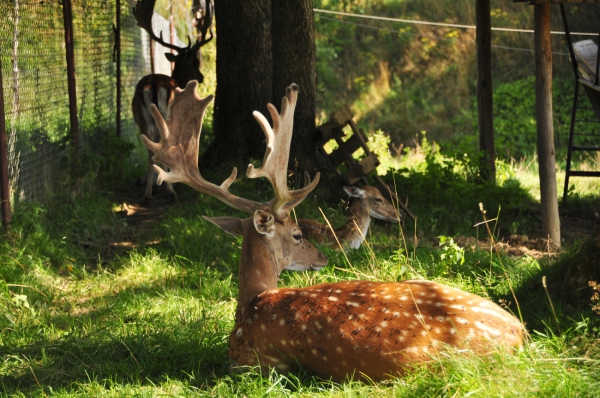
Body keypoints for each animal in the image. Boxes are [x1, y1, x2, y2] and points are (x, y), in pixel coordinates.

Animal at [131, 0, 213, 199]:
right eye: (195, 61)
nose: (200, 77)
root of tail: (154, 86)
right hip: (167, 116)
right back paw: (170, 191)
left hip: (143, 120)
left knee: (150, 151)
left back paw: (148, 193)